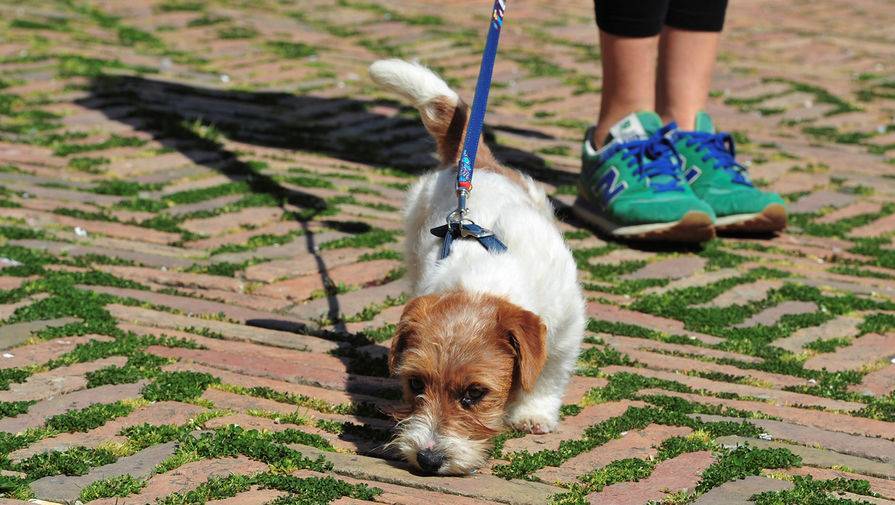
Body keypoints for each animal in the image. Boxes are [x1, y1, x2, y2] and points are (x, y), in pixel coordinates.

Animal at [368, 58, 584, 472]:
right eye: (416, 384)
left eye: (474, 393)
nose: (428, 459)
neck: (482, 278)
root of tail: (473, 163)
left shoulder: (568, 325)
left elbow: (550, 371)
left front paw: (533, 412)